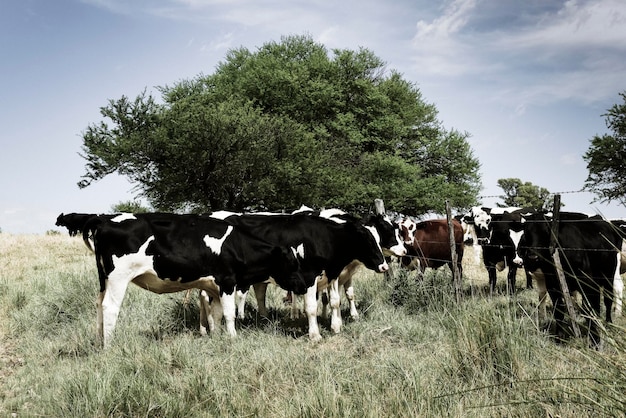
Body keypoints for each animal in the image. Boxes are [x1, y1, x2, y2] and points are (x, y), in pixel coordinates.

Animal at [83, 214, 308, 348]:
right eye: (292, 263)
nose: (304, 285)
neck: (236, 245)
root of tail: (104, 219)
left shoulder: (214, 287)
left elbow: (216, 314)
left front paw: (216, 337)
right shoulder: (227, 281)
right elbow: (229, 313)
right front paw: (233, 337)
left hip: (104, 280)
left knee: (99, 305)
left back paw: (99, 341)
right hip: (118, 278)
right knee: (110, 307)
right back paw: (109, 345)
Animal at [516, 212, 624, 346]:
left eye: (546, 232)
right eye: (526, 232)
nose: (532, 256)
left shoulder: (587, 283)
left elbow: (590, 310)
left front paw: (595, 341)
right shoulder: (552, 285)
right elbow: (559, 310)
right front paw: (559, 338)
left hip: (609, 275)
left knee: (608, 299)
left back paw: (608, 323)